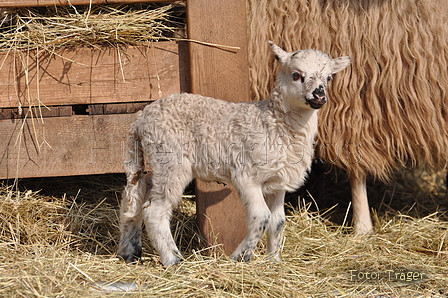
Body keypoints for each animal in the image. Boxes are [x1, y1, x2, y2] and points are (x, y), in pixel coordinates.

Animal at [117, 41, 352, 266]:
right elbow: (262, 217)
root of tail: (141, 118)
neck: (274, 122)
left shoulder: (277, 182)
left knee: (135, 198)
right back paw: (173, 260)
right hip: (171, 159)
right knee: (155, 211)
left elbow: (278, 222)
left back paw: (129, 252)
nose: (319, 95)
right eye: (296, 74)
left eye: (329, 77)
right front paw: (241, 257)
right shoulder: (247, 176)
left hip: (158, 163)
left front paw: (273, 262)